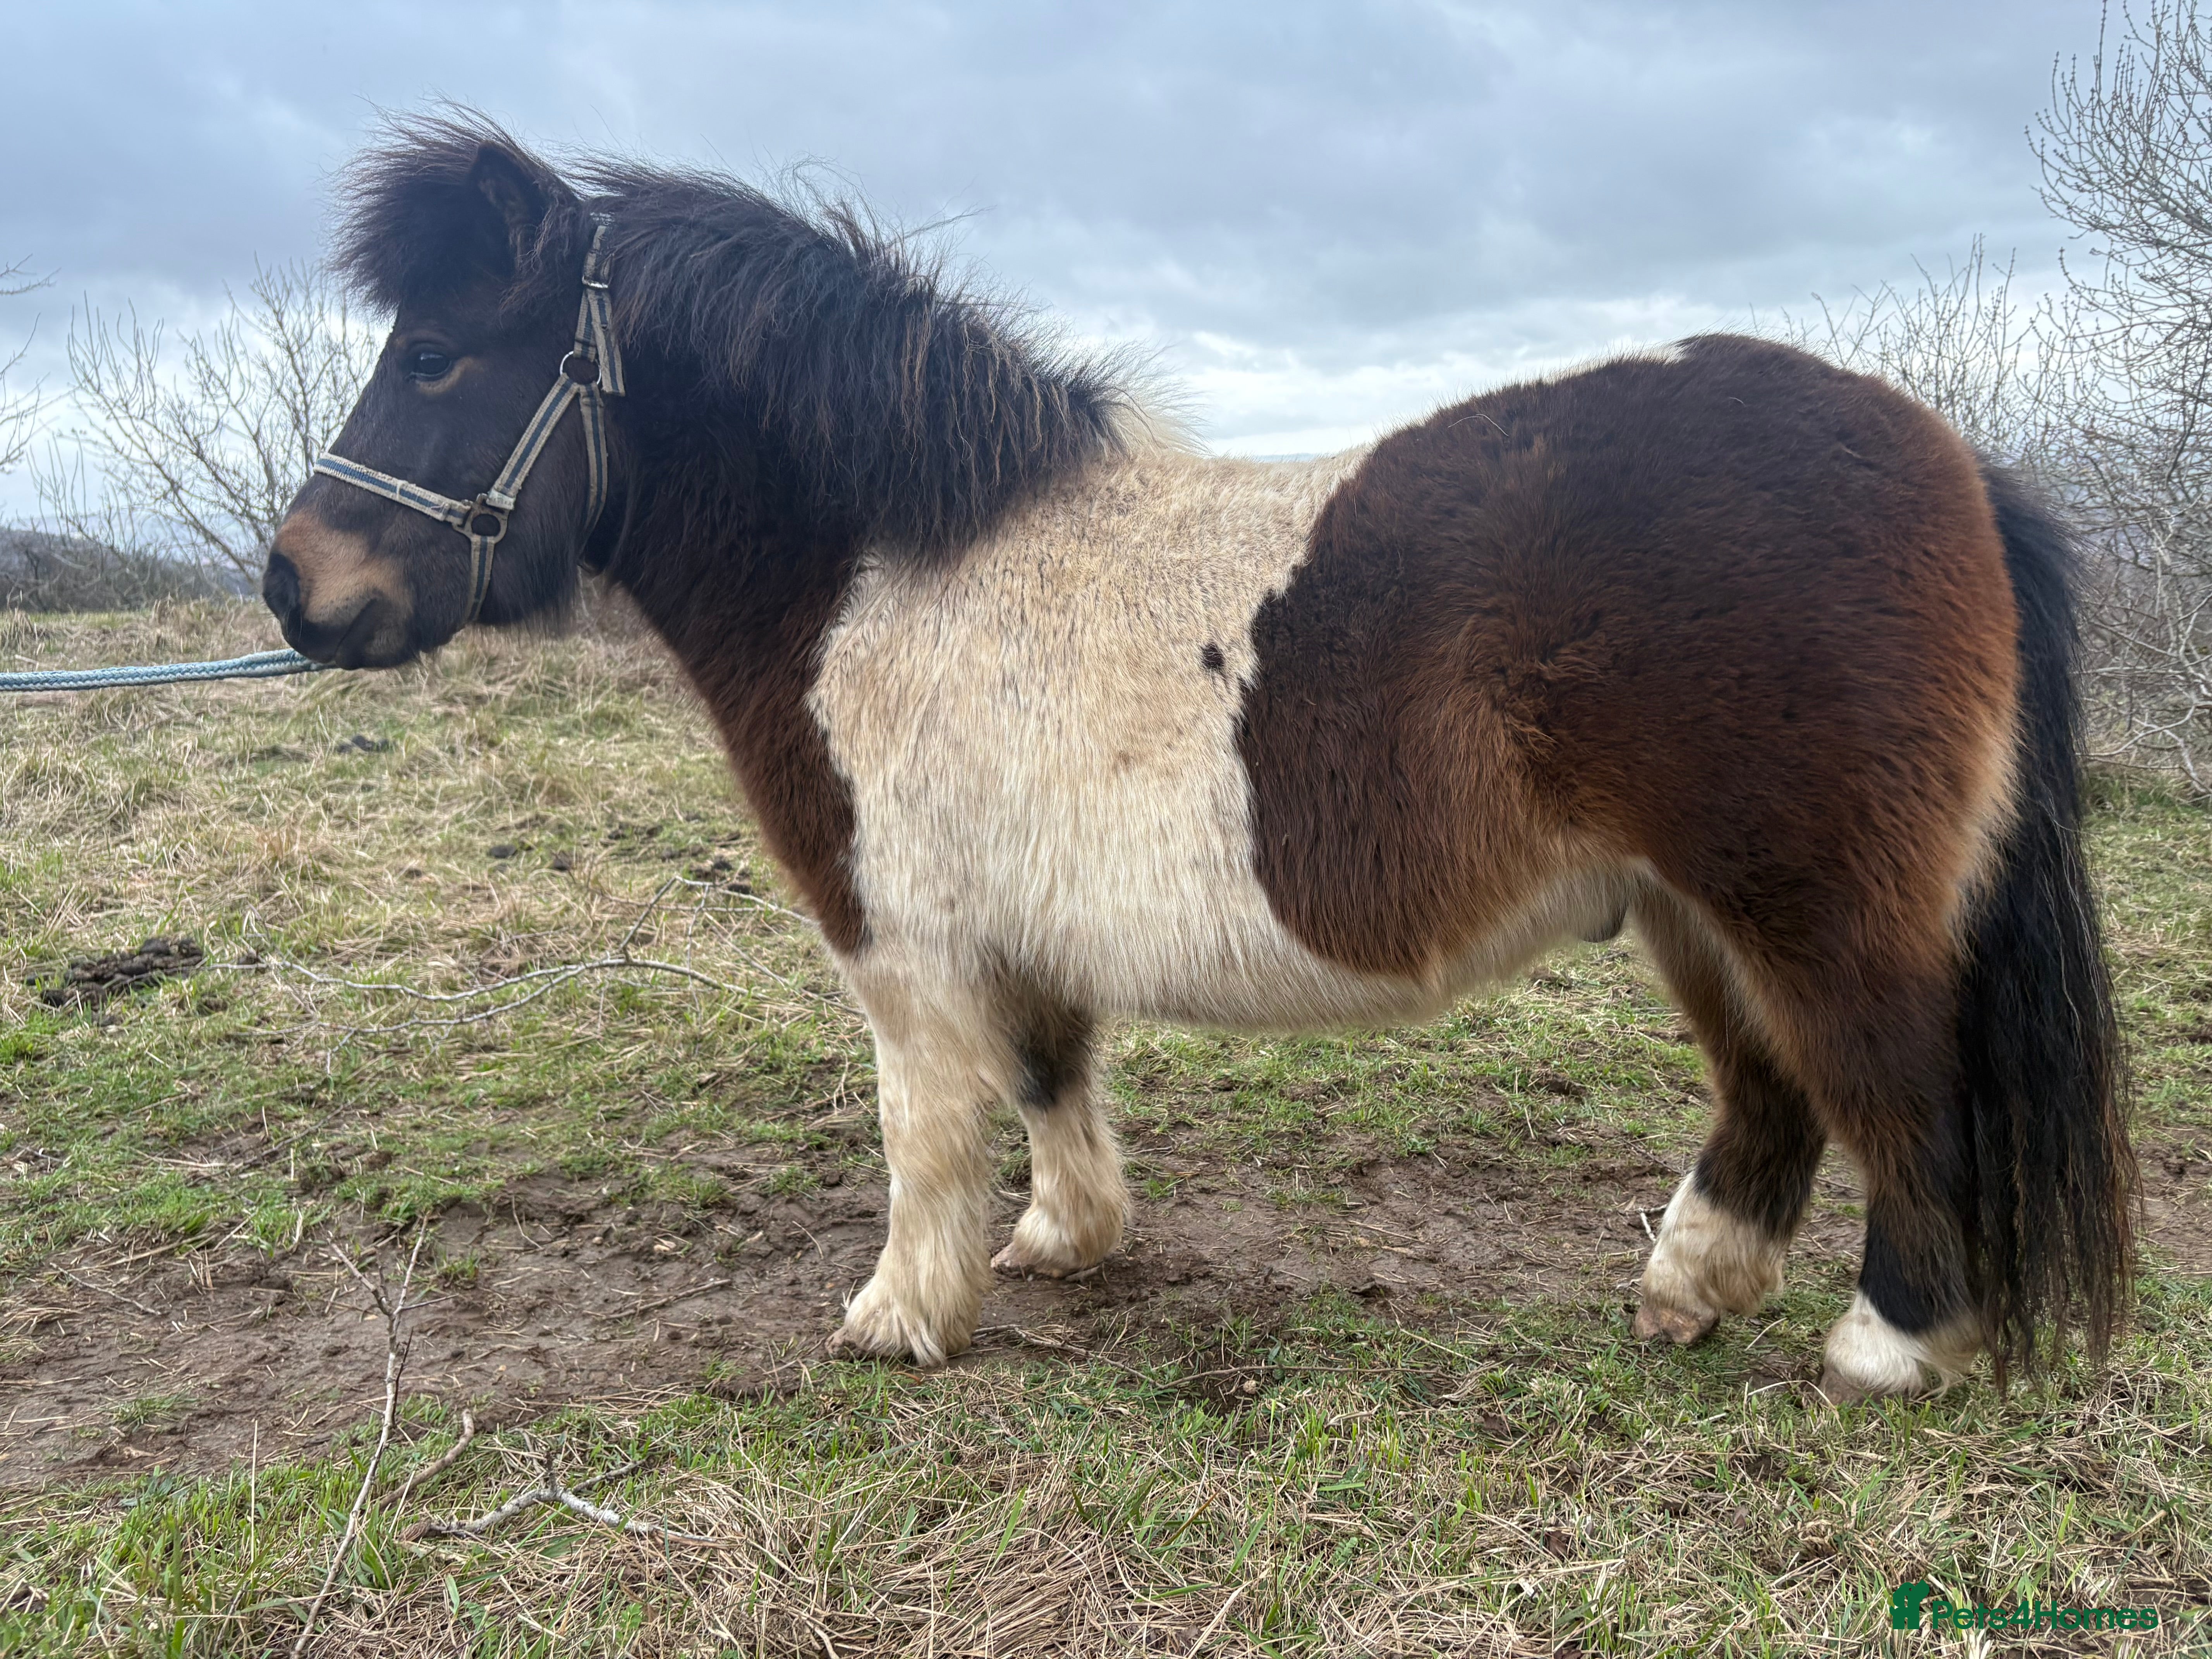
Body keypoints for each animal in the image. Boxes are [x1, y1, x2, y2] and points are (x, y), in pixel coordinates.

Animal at [262, 115, 2135, 1400]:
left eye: (435, 354)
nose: (294, 585)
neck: (896, 564)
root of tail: (1956, 466)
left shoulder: (902, 943)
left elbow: (925, 1127)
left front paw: (900, 1314)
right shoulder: (1018, 930)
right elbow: (1048, 1078)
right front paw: (1063, 1242)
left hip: (1810, 908)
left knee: (1898, 1089)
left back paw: (1889, 1344)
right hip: (1693, 911)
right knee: (1772, 1097)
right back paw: (1687, 1290)